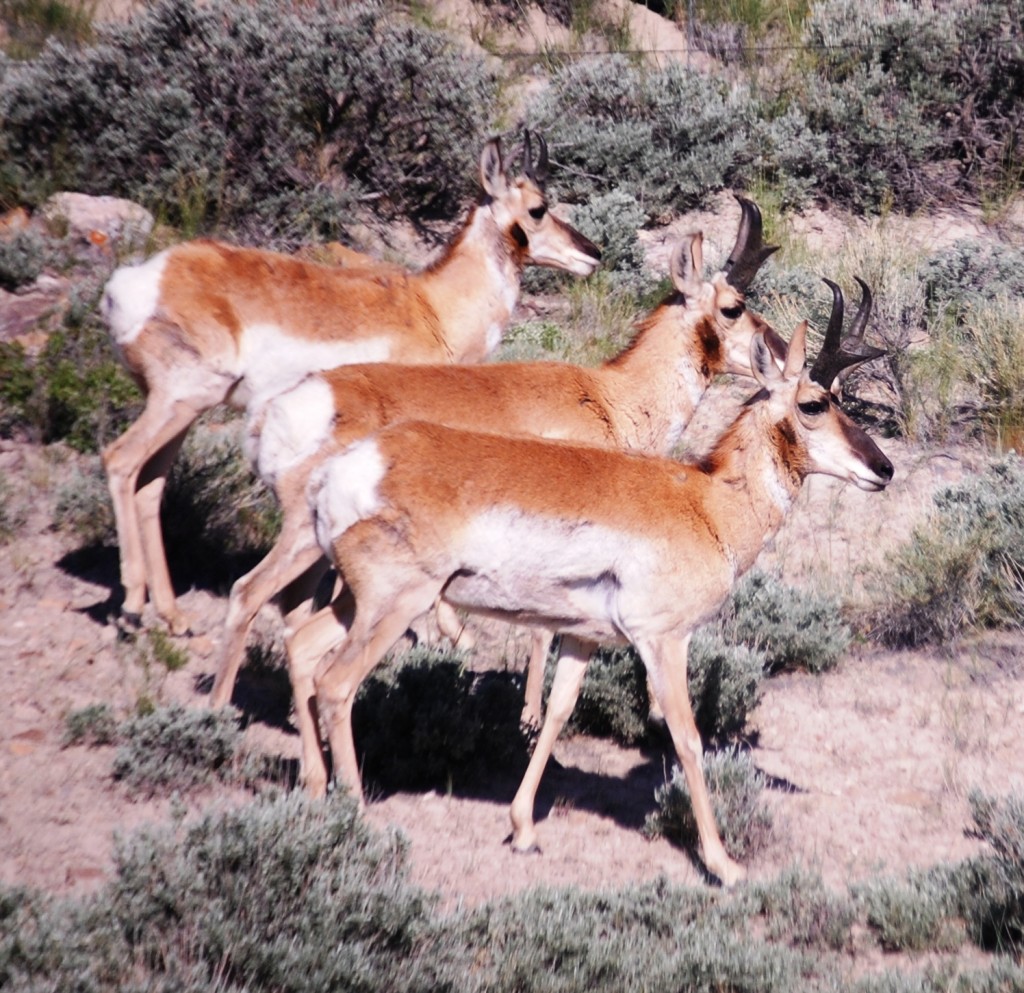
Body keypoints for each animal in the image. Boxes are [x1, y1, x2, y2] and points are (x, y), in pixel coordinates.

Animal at [97, 129, 598, 634]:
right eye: (538, 207)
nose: (592, 254)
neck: (430, 305)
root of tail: (141, 278)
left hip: (184, 409)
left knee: (150, 484)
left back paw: (172, 614)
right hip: (180, 400)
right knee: (121, 459)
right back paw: (132, 604)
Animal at [207, 199, 782, 773]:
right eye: (733, 306)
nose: (776, 351)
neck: (607, 395)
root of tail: (293, 403)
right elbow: (541, 629)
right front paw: (529, 717)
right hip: (306, 539)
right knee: (248, 594)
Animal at [294, 284, 888, 884]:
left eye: (840, 396)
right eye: (813, 404)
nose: (883, 468)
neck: (705, 503)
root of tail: (354, 465)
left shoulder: (582, 637)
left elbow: (558, 710)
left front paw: (523, 828)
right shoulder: (665, 642)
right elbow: (688, 738)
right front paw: (723, 863)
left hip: (356, 605)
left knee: (301, 648)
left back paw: (316, 791)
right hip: (395, 607)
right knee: (336, 684)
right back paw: (355, 816)